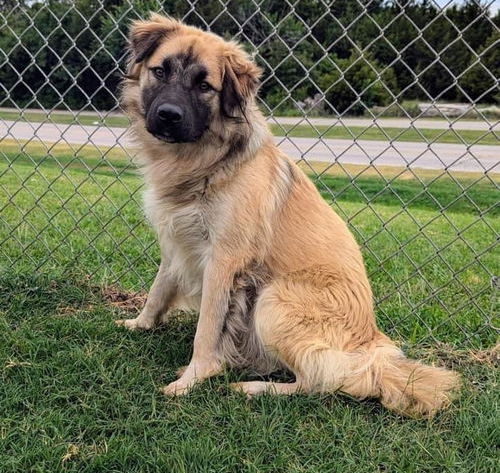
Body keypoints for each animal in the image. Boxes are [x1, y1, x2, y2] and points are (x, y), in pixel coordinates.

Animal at [115, 12, 458, 414]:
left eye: (205, 85)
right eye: (160, 71)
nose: (168, 115)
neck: (205, 160)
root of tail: (369, 346)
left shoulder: (224, 260)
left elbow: (208, 329)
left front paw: (193, 379)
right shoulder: (177, 242)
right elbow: (158, 291)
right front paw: (139, 324)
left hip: (273, 299)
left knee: (321, 380)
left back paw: (253, 387)